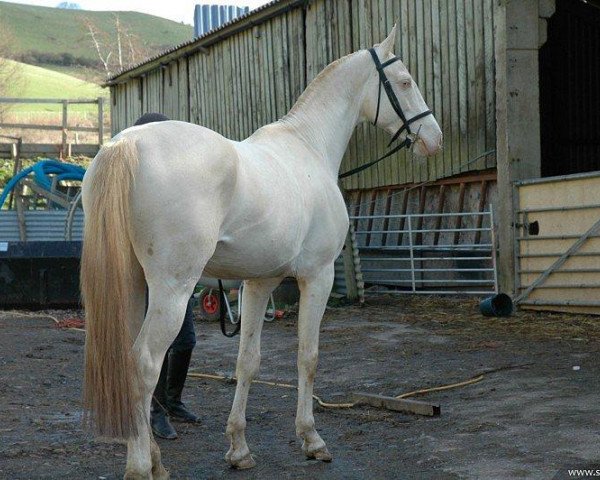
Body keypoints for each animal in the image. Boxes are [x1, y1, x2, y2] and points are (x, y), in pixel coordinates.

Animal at [81, 27, 440, 480]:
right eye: (406, 82)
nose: (434, 138)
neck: (308, 148)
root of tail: (125, 144)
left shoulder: (258, 283)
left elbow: (246, 363)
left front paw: (239, 448)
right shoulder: (317, 276)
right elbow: (308, 357)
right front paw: (312, 439)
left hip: (131, 283)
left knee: (128, 363)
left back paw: (155, 459)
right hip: (171, 289)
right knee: (145, 363)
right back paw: (141, 466)